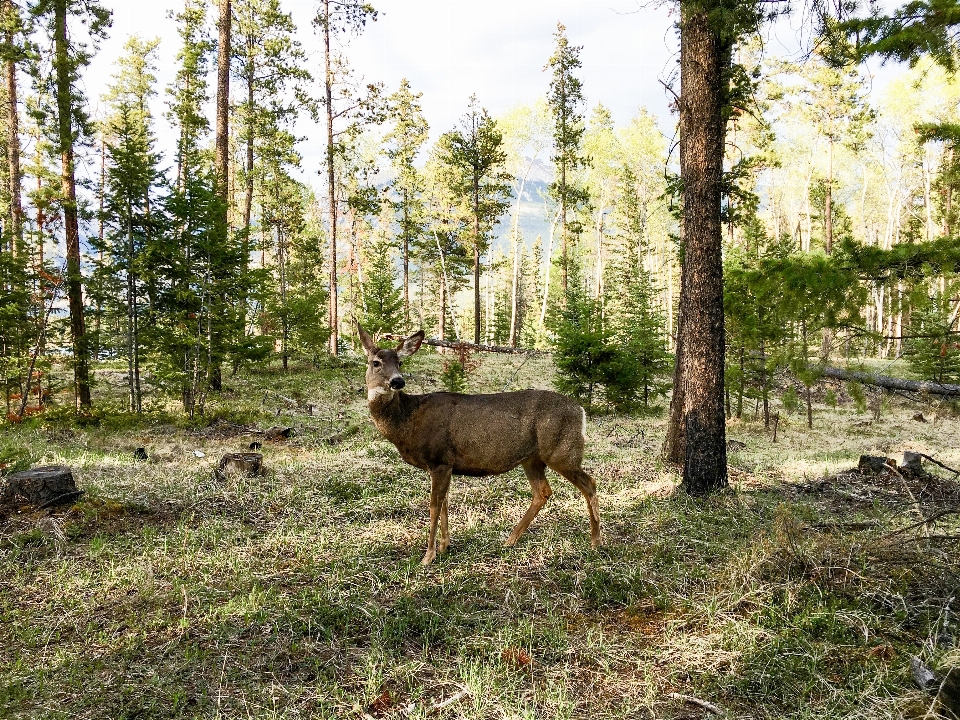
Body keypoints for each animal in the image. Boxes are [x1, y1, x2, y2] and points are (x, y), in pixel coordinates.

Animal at [360, 324, 600, 564]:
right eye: (376, 362)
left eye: (400, 362)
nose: (397, 381)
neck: (408, 422)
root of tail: (581, 410)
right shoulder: (444, 464)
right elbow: (445, 503)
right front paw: (445, 546)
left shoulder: (439, 459)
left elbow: (434, 507)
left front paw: (428, 556)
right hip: (532, 458)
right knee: (542, 491)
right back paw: (510, 540)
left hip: (562, 451)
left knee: (589, 483)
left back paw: (596, 541)